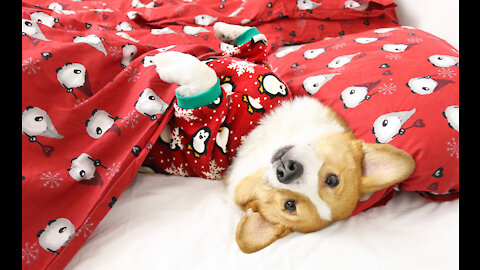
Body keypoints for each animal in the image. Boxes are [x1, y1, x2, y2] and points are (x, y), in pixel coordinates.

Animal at [144, 22, 414, 253]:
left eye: (289, 205)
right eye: (332, 180)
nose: (288, 170)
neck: (257, 133)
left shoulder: (201, 135)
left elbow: (205, 81)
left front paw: (167, 61)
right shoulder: (257, 60)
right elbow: (255, 41)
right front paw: (222, 31)